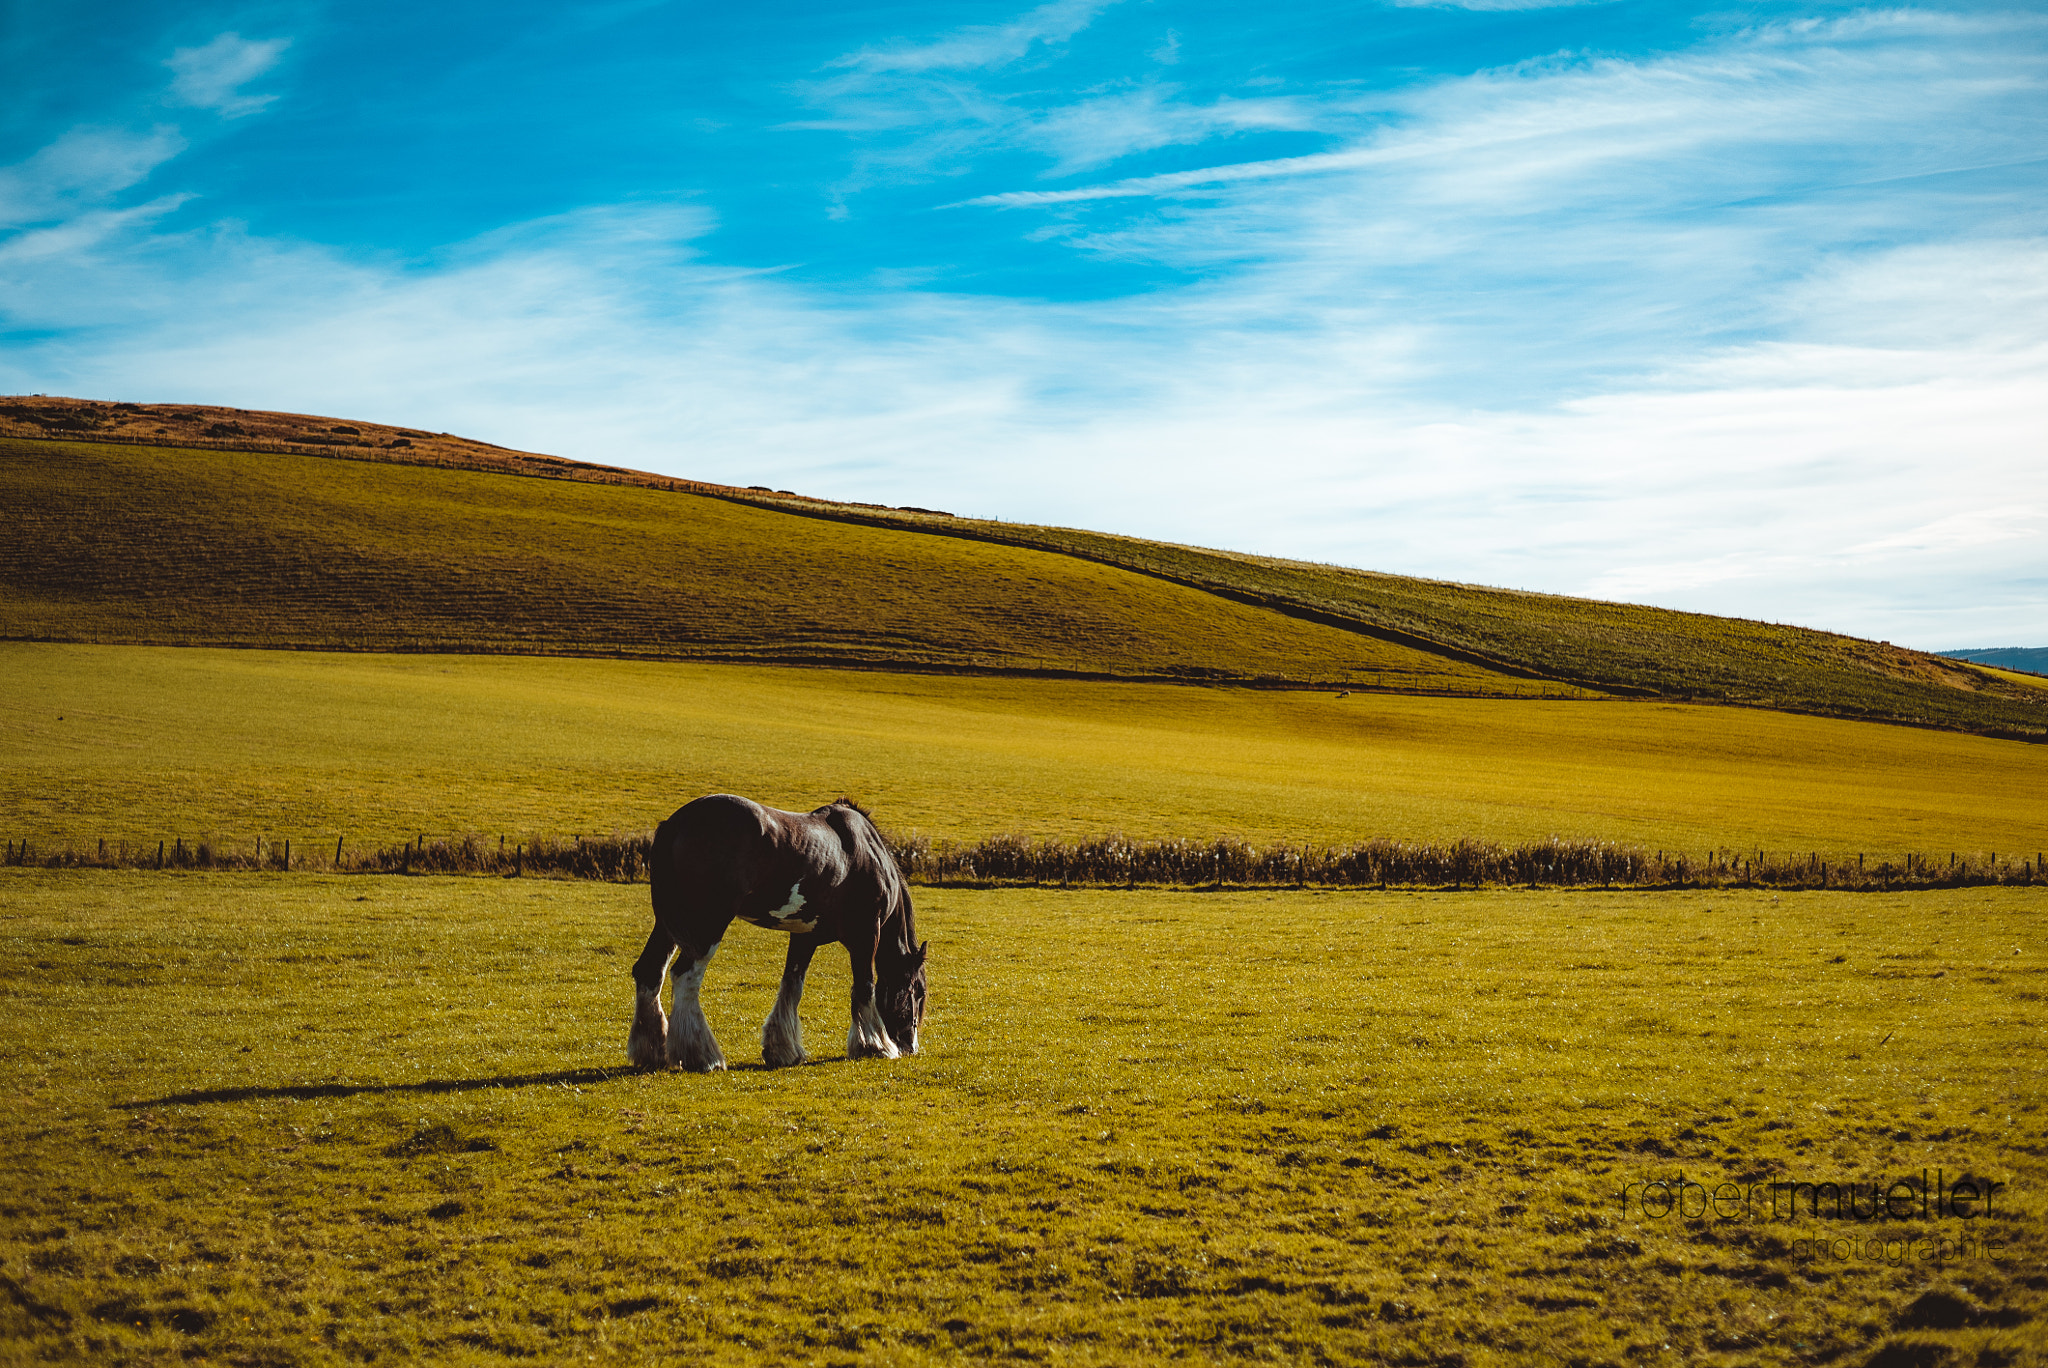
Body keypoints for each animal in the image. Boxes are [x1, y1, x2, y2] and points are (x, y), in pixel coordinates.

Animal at [622, 794, 929, 1073]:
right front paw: (875, 1045)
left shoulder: (805, 936)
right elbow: (864, 987)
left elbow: (792, 985)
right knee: (685, 976)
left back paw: (651, 1051)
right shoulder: (865, 935)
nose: (910, 1046)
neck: (865, 853)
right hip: (706, 927)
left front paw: (782, 1050)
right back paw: (703, 1056)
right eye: (918, 991)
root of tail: (674, 824)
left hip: (668, 927)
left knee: (650, 972)